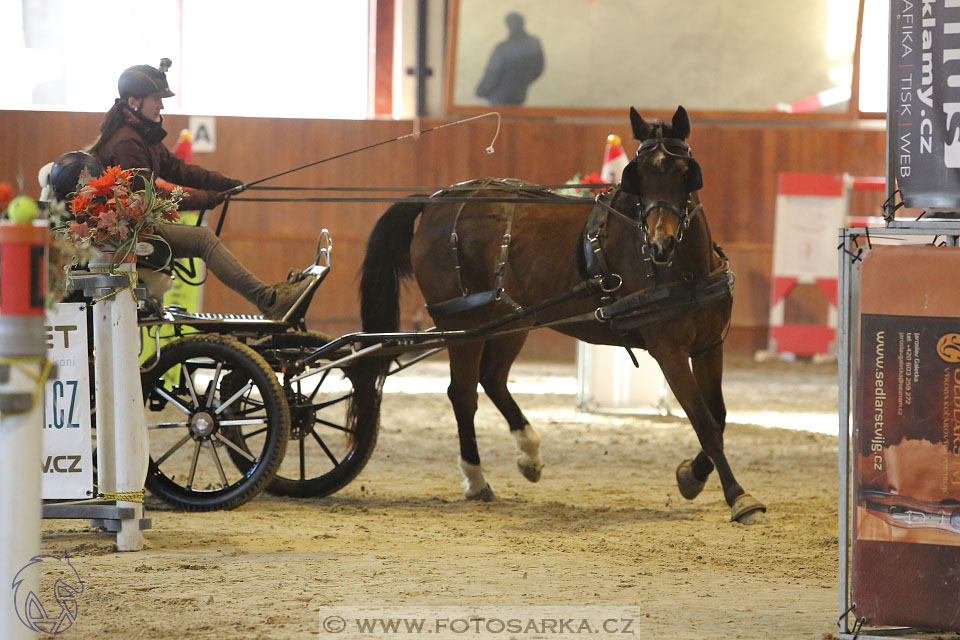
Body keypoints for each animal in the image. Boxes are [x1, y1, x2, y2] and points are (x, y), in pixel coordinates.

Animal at [350, 106, 764, 524]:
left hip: (512, 320)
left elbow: (719, 417)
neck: (683, 269)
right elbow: (704, 423)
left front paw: (691, 476)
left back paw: (529, 453)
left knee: (492, 379)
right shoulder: (670, 350)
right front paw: (738, 496)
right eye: (639, 175)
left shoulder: (710, 345)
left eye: (684, 172)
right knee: (463, 393)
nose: (660, 243)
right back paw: (476, 478)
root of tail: (437, 200)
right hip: (464, 323)